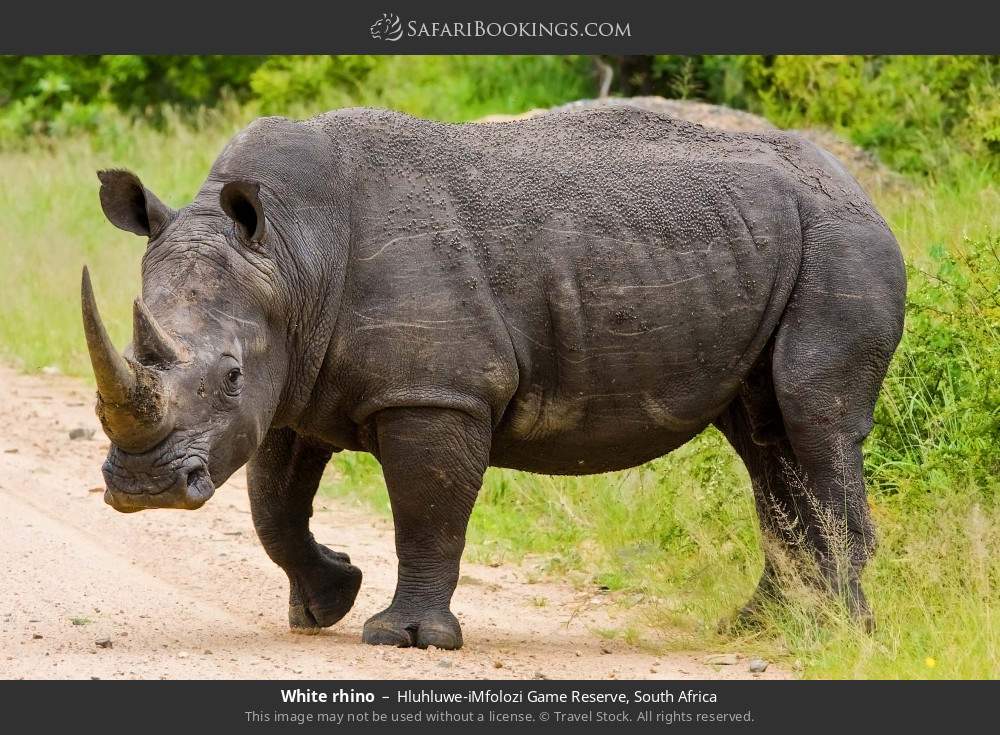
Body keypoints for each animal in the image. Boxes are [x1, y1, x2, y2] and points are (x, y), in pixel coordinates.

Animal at [83, 106, 905, 649]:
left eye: (227, 375)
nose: (146, 488)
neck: (289, 254)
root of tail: (861, 188)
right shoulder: (290, 382)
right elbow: (273, 506)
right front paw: (327, 603)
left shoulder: (436, 393)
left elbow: (427, 506)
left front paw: (406, 638)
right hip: (764, 245)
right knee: (766, 439)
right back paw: (764, 627)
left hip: (841, 239)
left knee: (813, 417)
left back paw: (843, 635)